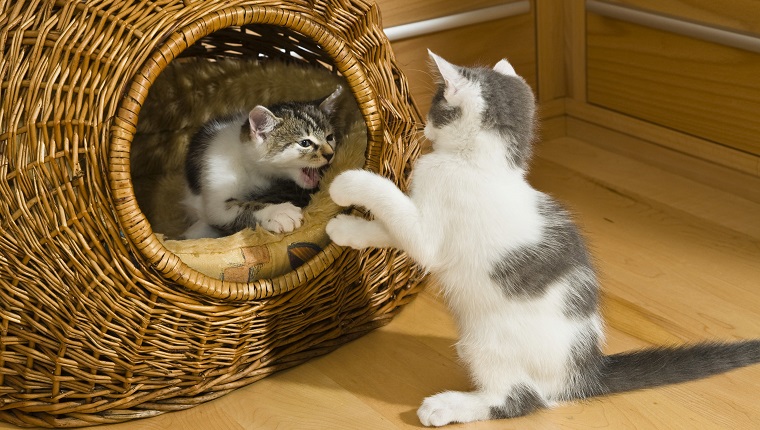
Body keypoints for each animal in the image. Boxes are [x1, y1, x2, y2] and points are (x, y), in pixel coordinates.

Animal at [181, 85, 342, 239]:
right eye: (305, 143)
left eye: (330, 137)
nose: (330, 154)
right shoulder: (216, 174)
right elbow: (234, 208)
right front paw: (278, 213)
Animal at [322, 53, 760, 426]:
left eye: (434, 106)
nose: (423, 127)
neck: (482, 166)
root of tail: (582, 370)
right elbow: (389, 228)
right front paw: (346, 230)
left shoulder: (430, 231)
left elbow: (396, 208)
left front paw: (347, 183)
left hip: (487, 341)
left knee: (521, 398)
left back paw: (446, 406)